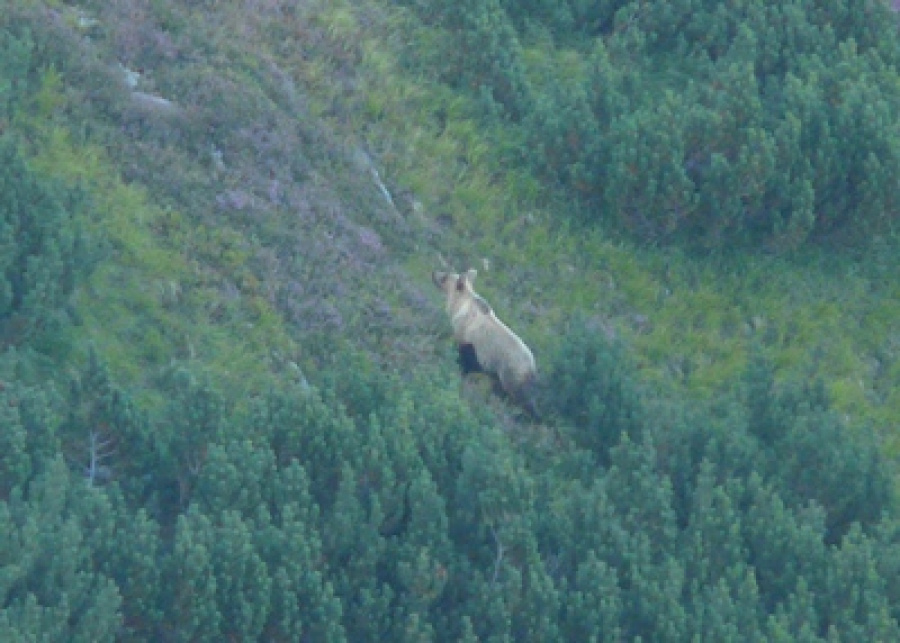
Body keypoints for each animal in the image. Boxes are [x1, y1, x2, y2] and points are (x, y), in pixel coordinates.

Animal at [432, 268, 536, 416]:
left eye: (445, 276)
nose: (434, 273)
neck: (459, 306)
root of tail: (532, 367)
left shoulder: (467, 335)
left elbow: (464, 357)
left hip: (510, 371)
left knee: (517, 395)